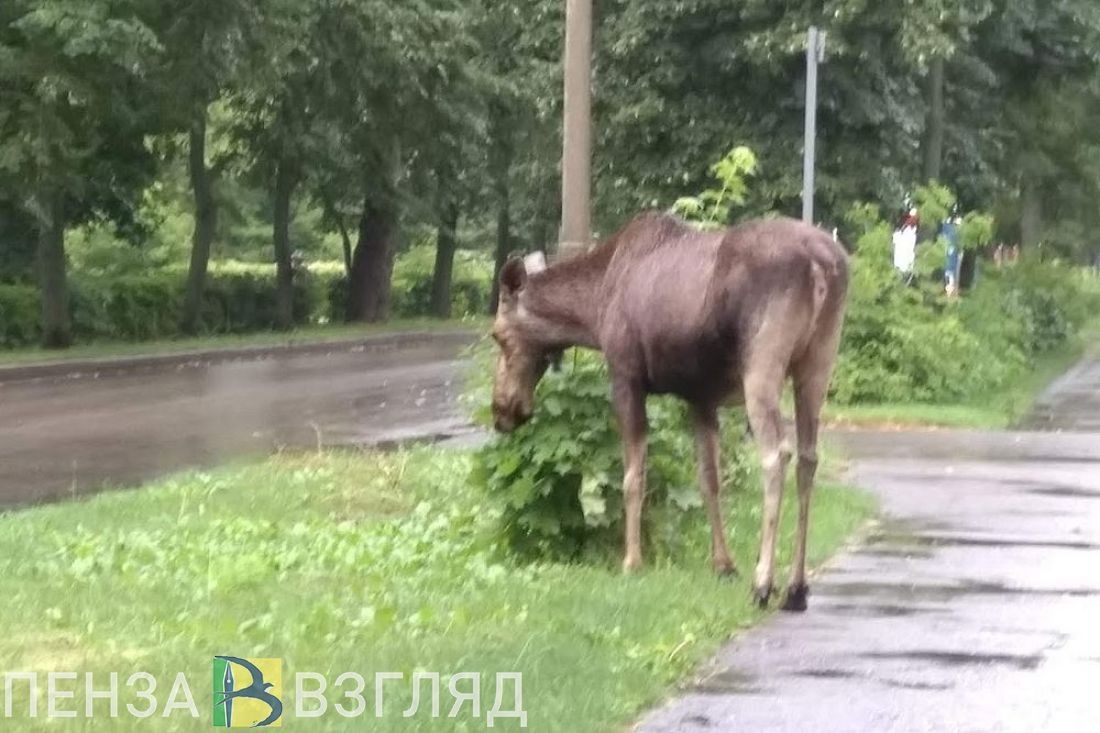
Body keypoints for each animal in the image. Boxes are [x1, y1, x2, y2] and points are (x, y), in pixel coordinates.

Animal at [492, 210, 849, 603]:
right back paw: (797, 586)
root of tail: (822, 263)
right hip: (817, 363)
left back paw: (763, 582)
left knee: (776, 455)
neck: (592, 309)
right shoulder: (701, 398)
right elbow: (709, 480)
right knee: (808, 457)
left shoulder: (626, 375)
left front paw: (632, 561)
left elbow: (633, 477)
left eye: (498, 335)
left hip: (762, 362)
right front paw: (723, 564)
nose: (502, 410)